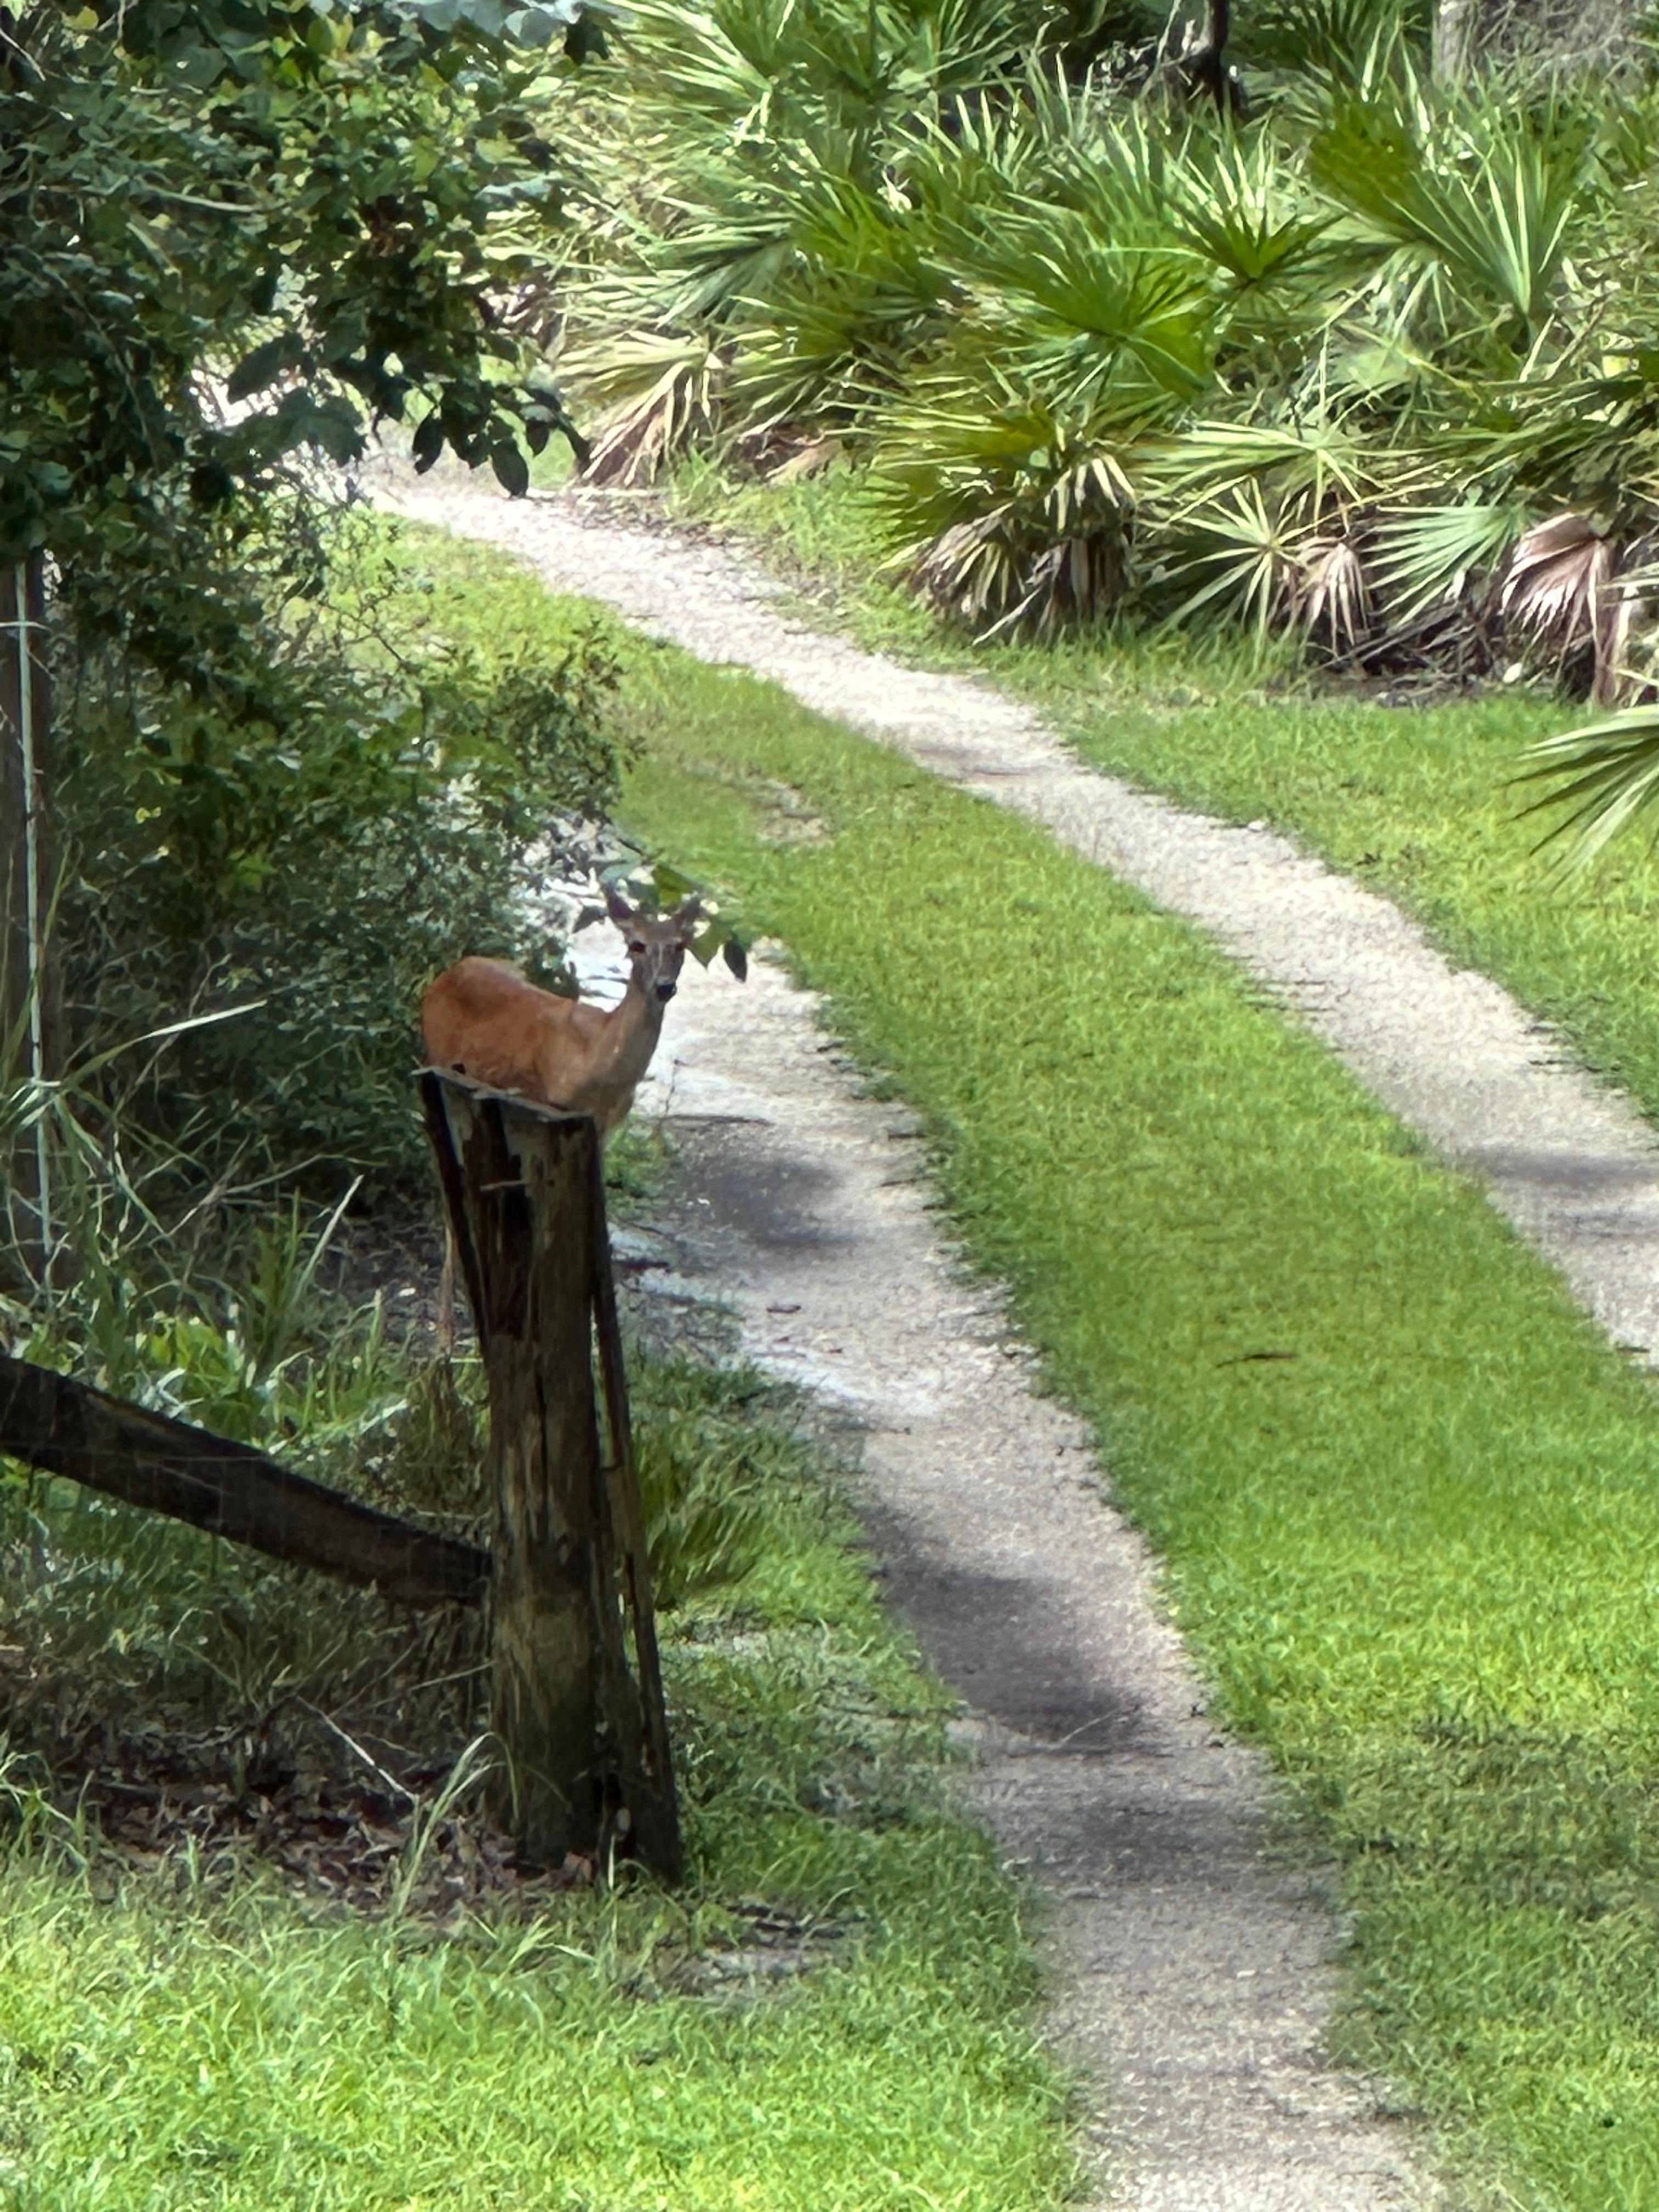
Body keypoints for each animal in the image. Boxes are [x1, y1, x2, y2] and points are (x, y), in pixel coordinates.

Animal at [420, 885, 704, 1341]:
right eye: (636, 944)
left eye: (681, 945)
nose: (664, 987)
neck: (598, 1060)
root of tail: (442, 977)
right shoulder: (550, 1112)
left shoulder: (602, 1128)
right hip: (440, 1073)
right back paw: (446, 1330)